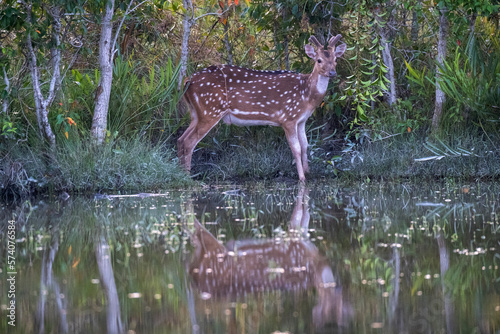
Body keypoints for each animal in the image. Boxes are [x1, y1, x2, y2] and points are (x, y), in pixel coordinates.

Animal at [178, 34, 346, 181]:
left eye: (335, 59)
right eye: (319, 60)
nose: (332, 72)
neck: (307, 95)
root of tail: (187, 81)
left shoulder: (302, 120)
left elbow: (305, 146)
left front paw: (308, 173)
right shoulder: (288, 118)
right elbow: (296, 148)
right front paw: (302, 178)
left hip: (196, 112)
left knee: (181, 139)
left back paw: (181, 172)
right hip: (210, 110)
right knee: (189, 141)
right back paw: (188, 176)